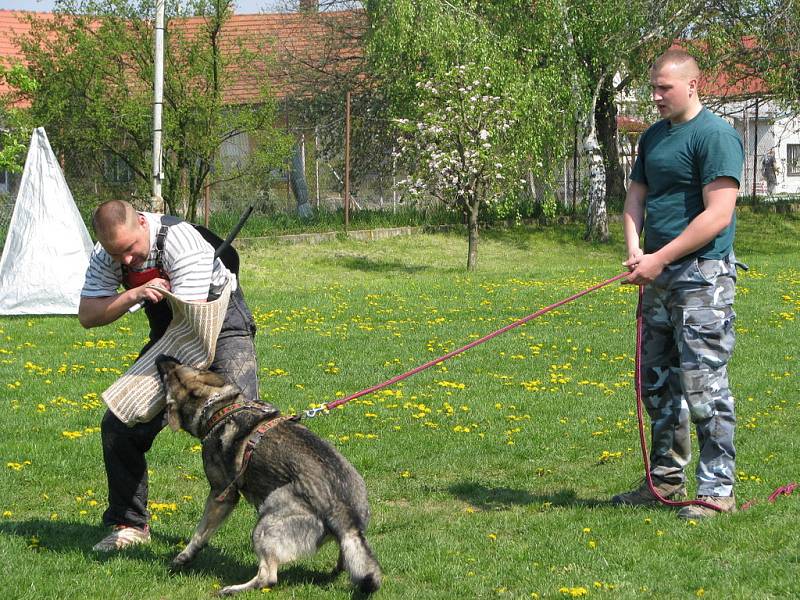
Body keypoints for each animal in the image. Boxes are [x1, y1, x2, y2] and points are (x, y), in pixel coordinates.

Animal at [157, 356, 384, 596]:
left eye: (171, 374)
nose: (160, 357)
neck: (221, 409)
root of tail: (346, 518)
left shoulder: (221, 495)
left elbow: (200, 532)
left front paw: (183, 557)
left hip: (265, 522)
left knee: (268, 578)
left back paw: (231, 590)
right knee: (348, 560)